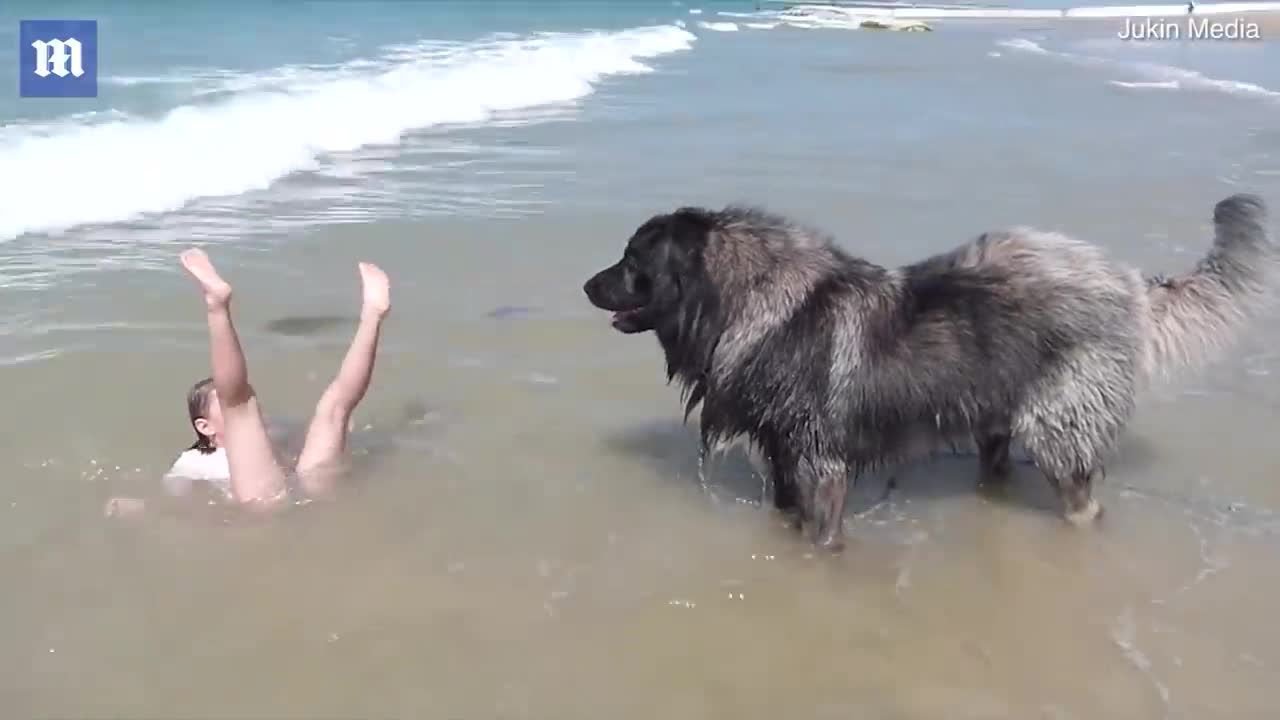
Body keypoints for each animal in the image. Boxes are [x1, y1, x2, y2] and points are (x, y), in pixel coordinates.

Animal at [586, 193, 1274, 545]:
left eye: (631, 261)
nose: (587, 285)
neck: (748, 298)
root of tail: (1130, 284)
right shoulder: (784, 450)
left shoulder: (821, 463)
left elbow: (820, 536)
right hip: (997, 416)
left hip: (1059, 427)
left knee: (1082, 499)